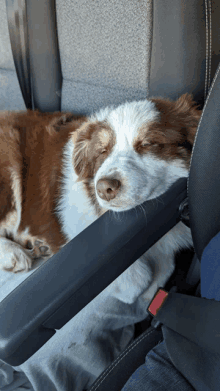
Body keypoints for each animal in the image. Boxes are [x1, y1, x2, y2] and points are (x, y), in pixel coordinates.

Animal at [0, 93, 201, 304]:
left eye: (148, 144)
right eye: (102, 151)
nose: (104, 188)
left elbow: (165, 268)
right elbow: (137, 282)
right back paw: (13, 253)